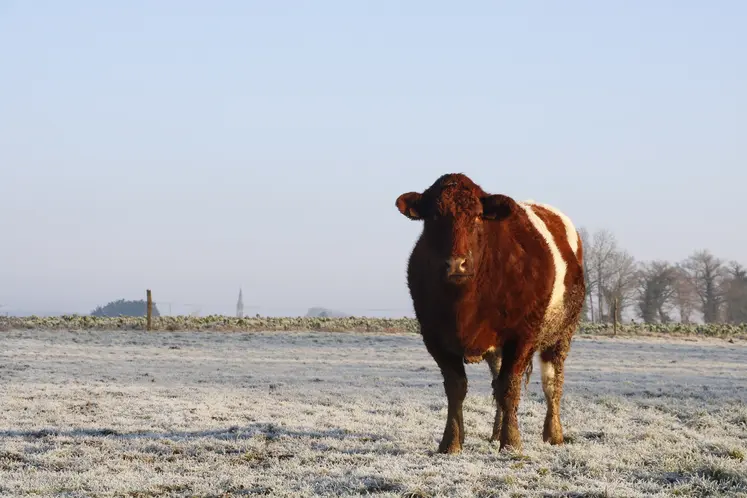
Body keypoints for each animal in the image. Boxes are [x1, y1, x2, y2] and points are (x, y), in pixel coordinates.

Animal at [394, 173, 588, 454]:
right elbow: (456, 388)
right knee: (497, 382)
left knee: (552, 383)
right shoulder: (434, 337)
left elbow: (510, 387)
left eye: (477, 216)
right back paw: (496, 433)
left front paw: (512, 442)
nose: (457, 264)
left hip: (561, 333)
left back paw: (553, 434)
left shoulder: (522, 336)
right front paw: (451, 442)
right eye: (433, 217)